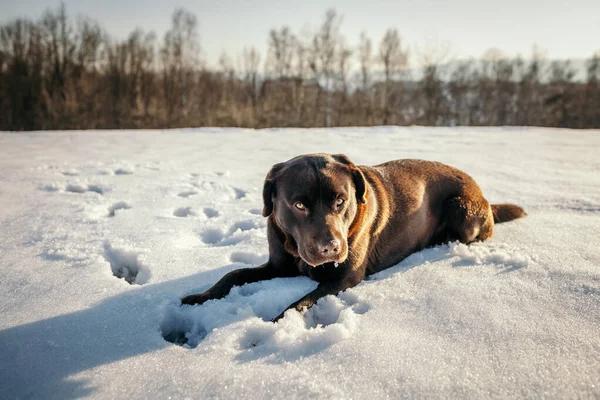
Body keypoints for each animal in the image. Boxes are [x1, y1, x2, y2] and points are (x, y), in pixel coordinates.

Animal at [182, 154, 524, 322]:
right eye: (299, 205)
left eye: (340, 200)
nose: (330, 247)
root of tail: (482, 192)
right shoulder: (278, 265)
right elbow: (232, 274)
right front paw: (197, 298)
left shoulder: (345, 276)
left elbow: (300, 303)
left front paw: (276, 325)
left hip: (462, 208)